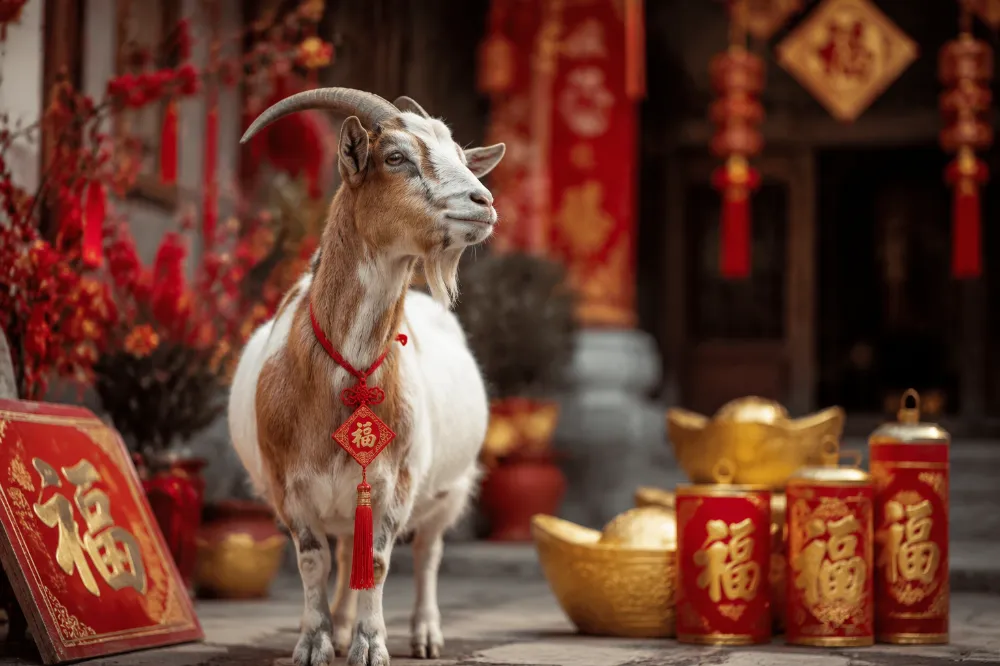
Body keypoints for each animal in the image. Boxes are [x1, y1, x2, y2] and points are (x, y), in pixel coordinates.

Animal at [228, 88, 505, 666]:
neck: (344, 375)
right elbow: (314, 561)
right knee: (341, 555)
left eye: (462, 157)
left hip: (450, 490)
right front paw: (313, 643)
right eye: (395, 157)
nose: (483, 202)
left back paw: (424, 634)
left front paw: (371, 646)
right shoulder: (289, 486)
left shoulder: (395, 483)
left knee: (428, 554)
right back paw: (339, 628)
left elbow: (375, 562)